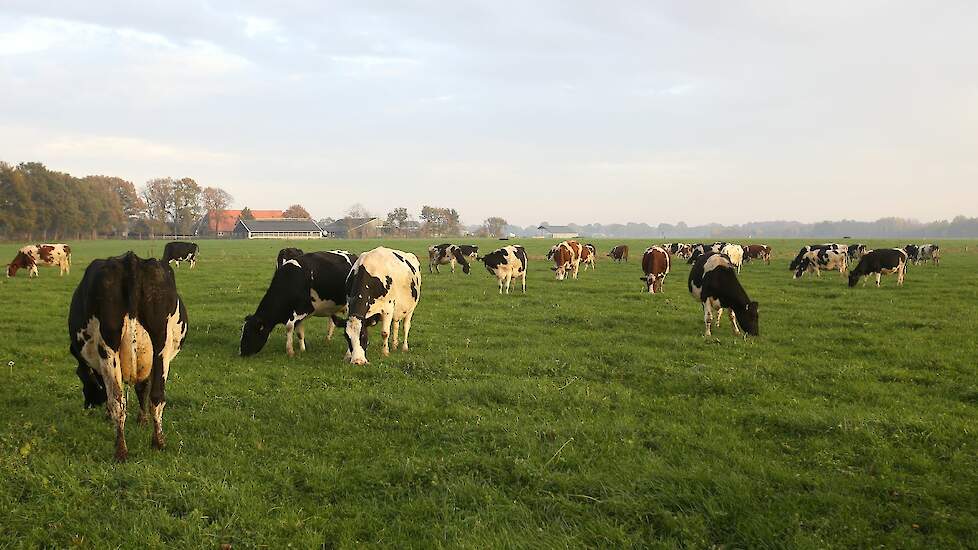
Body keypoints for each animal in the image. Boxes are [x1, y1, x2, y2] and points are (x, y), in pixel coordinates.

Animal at [67, 253, 189, 462]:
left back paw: (121, 450)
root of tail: (130, 260)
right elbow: (143, 388)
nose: (87, 405)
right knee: (156, 397)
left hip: (108, 349)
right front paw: (142, 419)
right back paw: (158, 442)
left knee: (118, 400)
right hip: (161, 347)